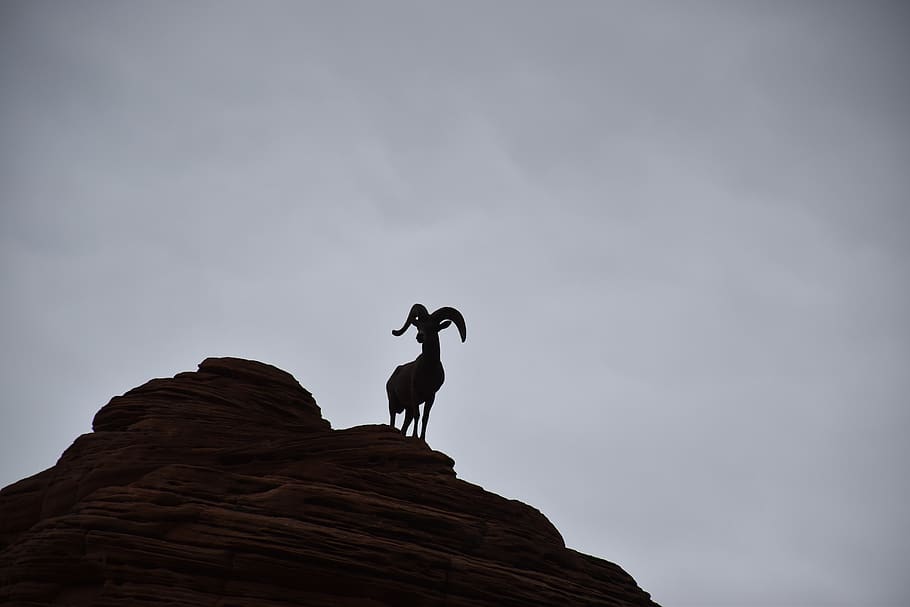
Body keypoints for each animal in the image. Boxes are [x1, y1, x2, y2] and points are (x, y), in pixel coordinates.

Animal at [387, 303, 466, 441]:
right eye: (419, 326)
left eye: (433, 327)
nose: (420, 336)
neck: (428, 370)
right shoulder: (415, 393)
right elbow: (418, 415)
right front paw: (415, 436)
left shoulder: (431, 396)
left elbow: (425, 417)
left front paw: (422, 438)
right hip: (392, 401)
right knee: (393, 418)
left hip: (407, 408)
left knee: (405, 424)